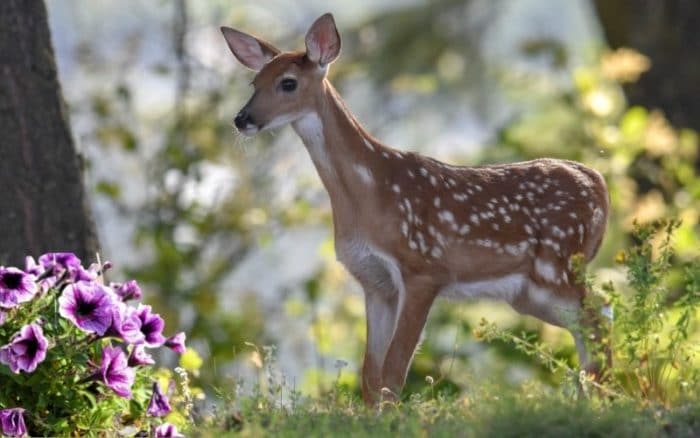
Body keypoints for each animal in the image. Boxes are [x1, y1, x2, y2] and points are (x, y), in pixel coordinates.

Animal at [221, 13, 608, 404]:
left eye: (288, 83)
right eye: (254, 81)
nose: (242, 119)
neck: (369, 193)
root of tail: (596, 181)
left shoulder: (423, 268)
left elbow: (394, 371)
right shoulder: (375, 282)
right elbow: (370, 375)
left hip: (555, 264)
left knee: (599, 317)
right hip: (528, 291)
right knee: (595, 319)